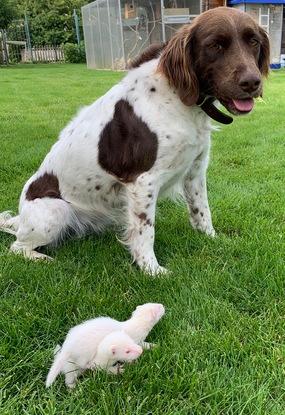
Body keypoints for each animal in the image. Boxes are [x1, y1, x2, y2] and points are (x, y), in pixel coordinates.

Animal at [0, 8, 268, 274]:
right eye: (215, 45)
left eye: (253, 42)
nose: (252, 82)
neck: (178, 98)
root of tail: (20, 217)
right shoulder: (143, 181)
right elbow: (145, 230)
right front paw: (151, 270)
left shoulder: (195, 170)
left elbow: (201, 210)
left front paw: (212, 240)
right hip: (56, 209)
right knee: (16, 247)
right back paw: (42, 259)